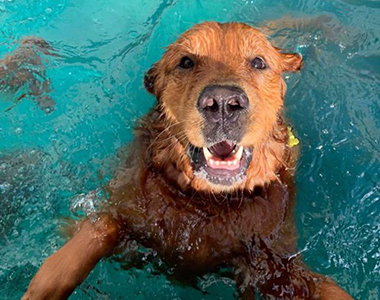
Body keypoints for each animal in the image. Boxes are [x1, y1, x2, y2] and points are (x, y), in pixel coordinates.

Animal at [21, 22, 354, 298]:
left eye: (258, 62)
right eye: (186, 61)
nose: (222, 103)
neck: (206, 202)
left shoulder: (277, 262)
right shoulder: (121, 207)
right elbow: (80, 247)